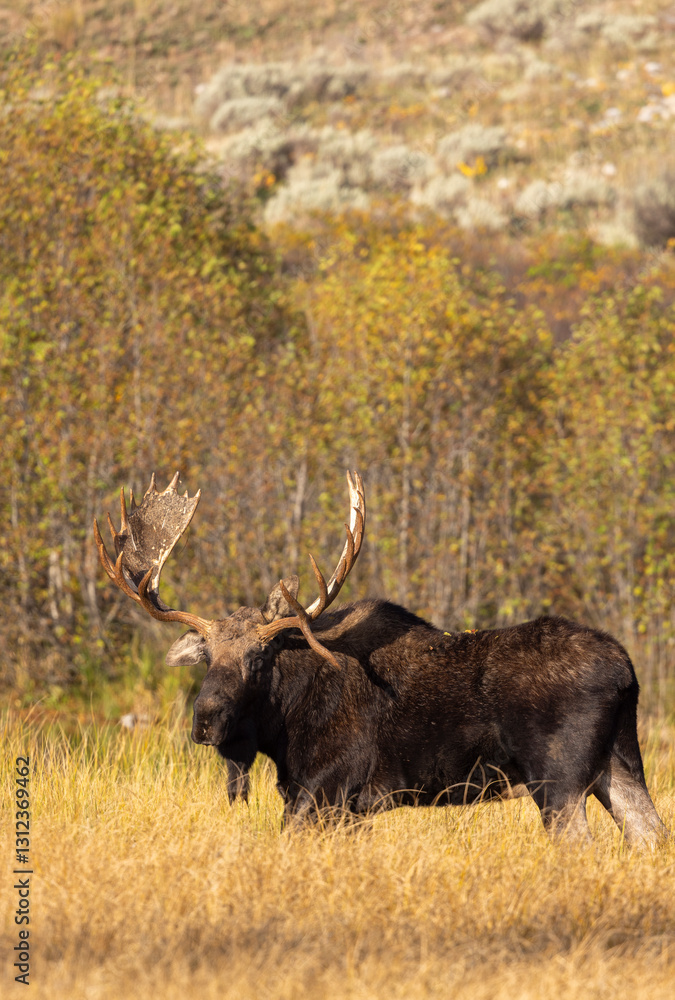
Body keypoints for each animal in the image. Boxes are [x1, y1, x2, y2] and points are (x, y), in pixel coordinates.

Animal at [94, 471, 667, 845]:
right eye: (207, 655)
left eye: (259, 658)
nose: (206, 720)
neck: (283, 727)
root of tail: (627, 672)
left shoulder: (324, 789)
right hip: (618, 764)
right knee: (651, 835)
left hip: (558, 778)